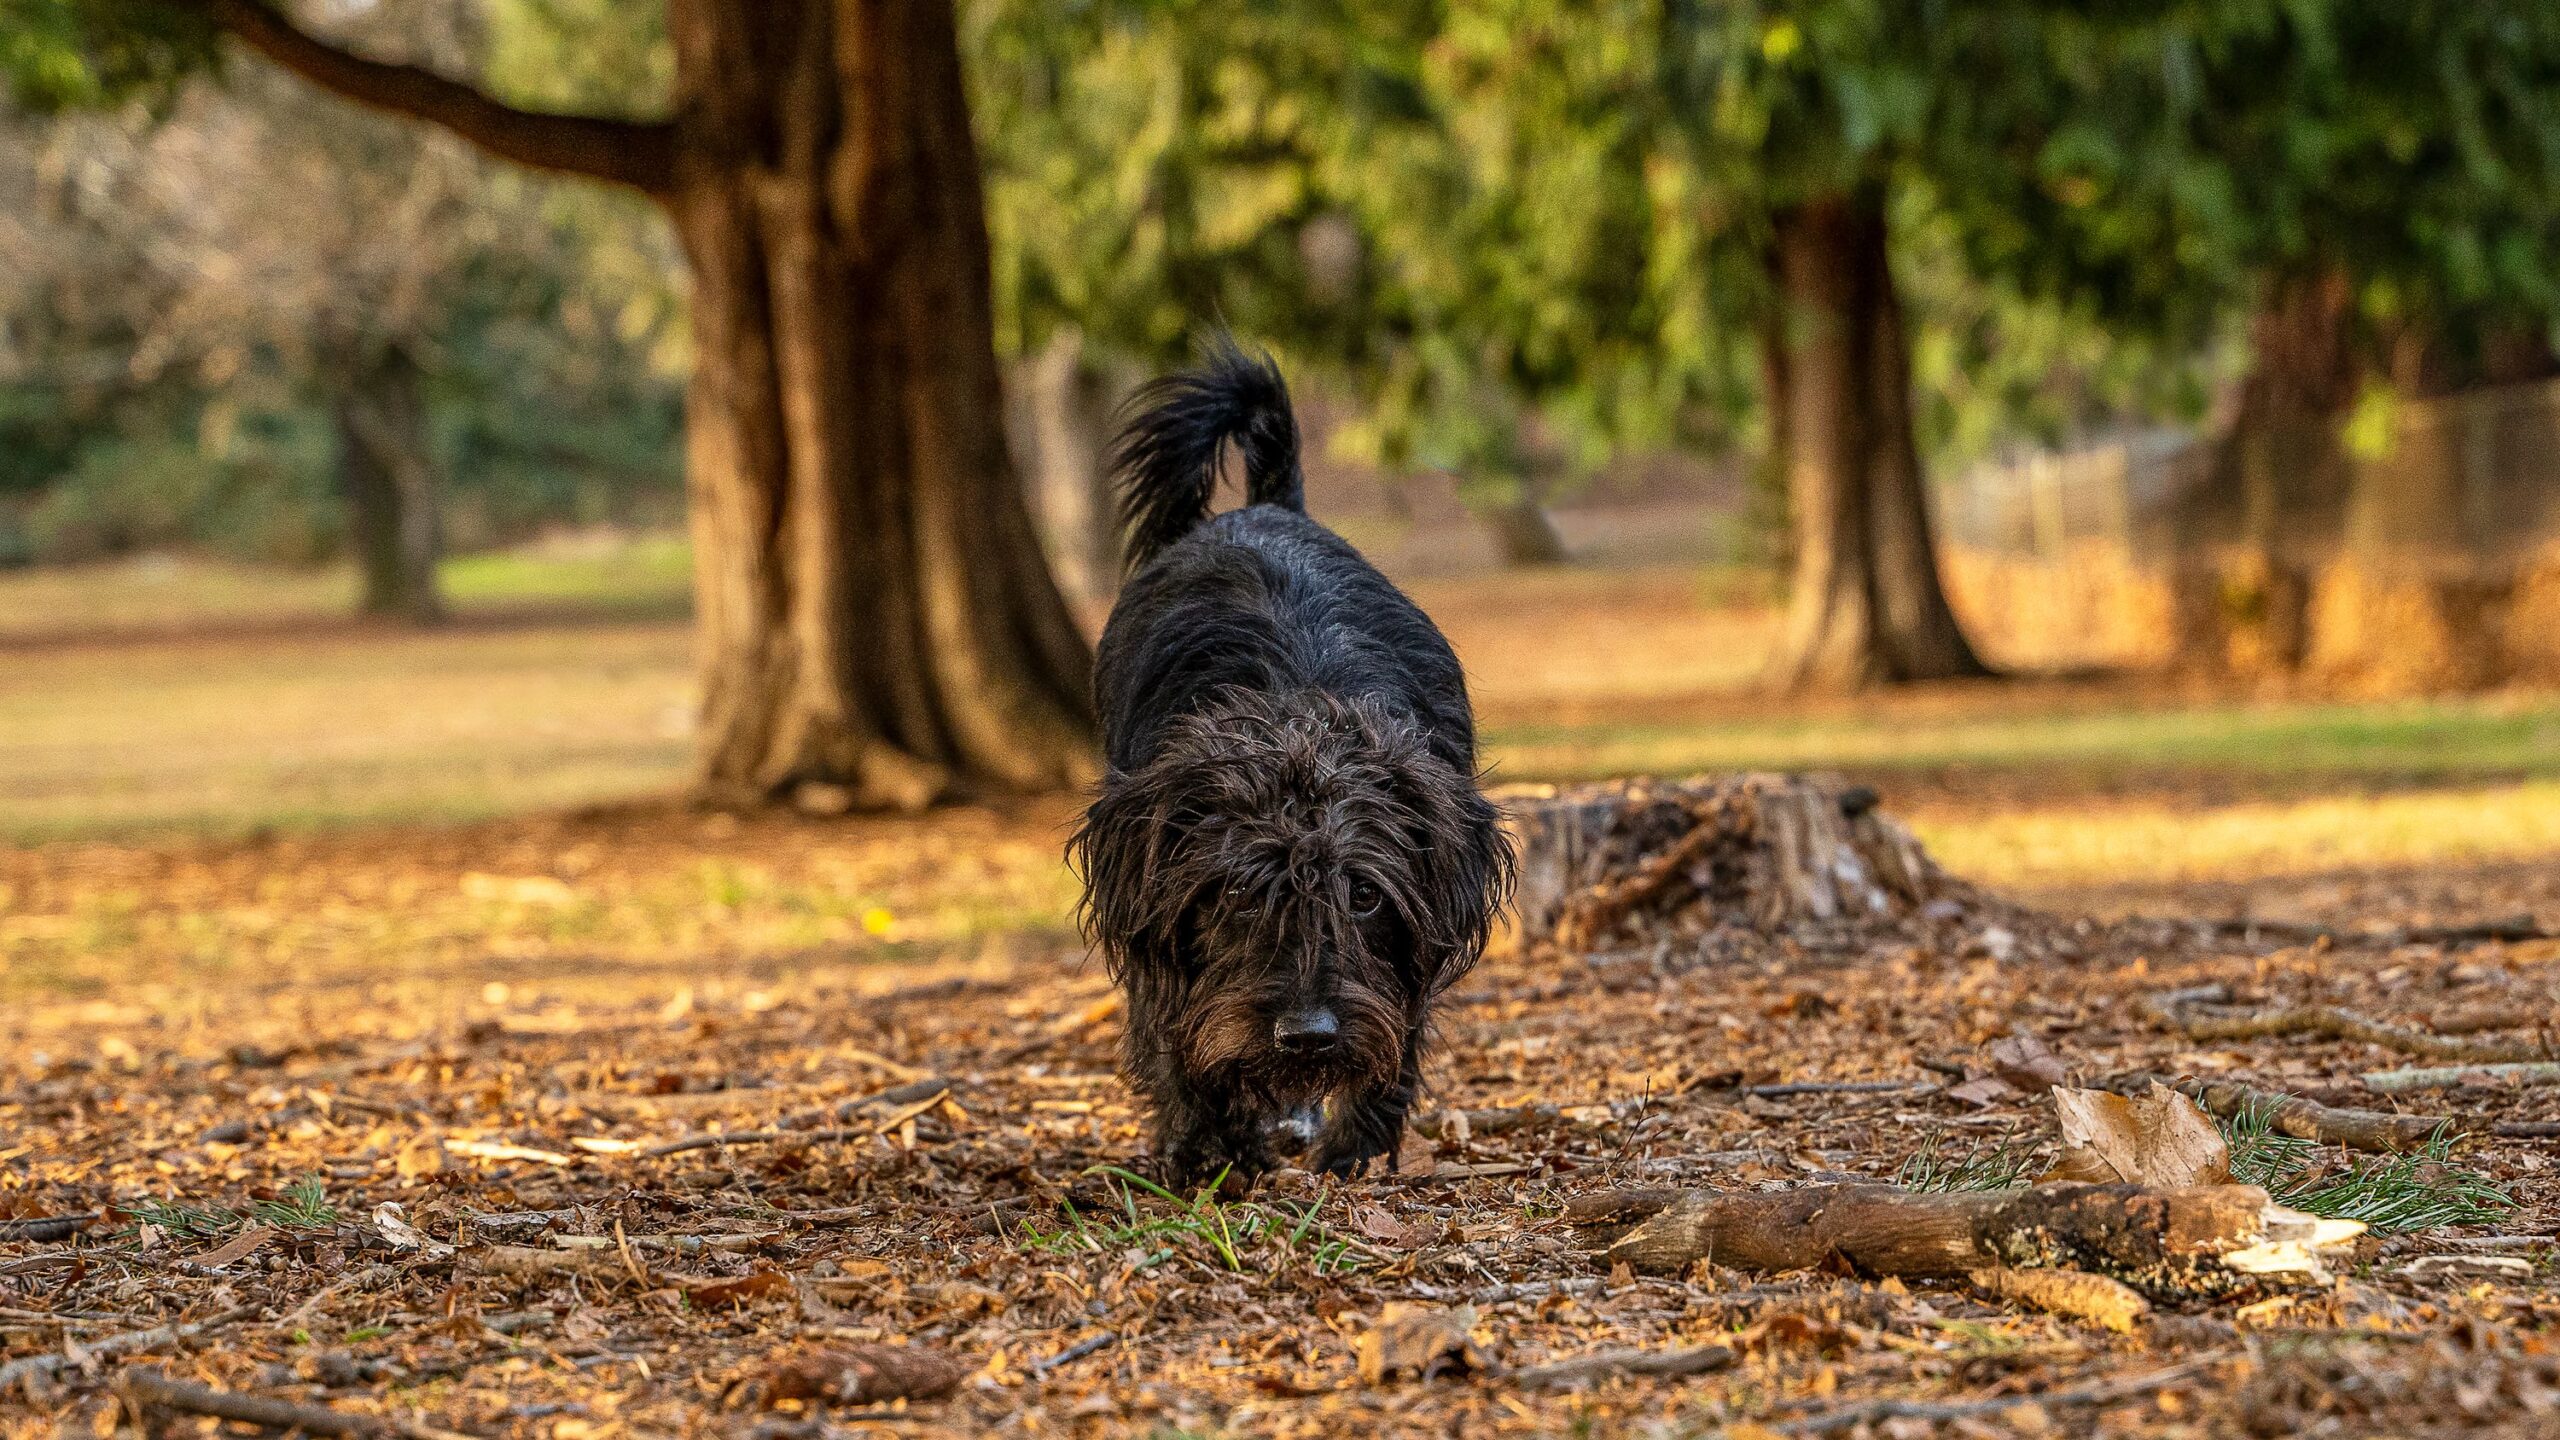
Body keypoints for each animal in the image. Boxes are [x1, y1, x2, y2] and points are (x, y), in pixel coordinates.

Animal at [1064, 340, 1505, 1183]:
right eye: (1237, 893)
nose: (1308, 1036)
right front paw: (1209, 1148)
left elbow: (1399, 1028)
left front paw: (1352, 1148)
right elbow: (1171, 1028)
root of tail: (1270, 506)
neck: (1295, 709)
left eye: (1364, 894)